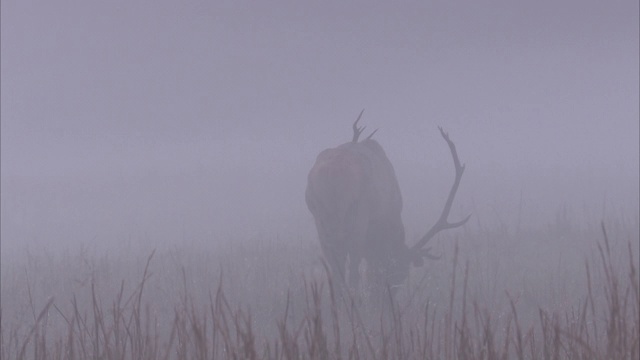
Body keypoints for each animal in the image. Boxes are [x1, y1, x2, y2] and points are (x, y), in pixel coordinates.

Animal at [304, 110, 470, 296]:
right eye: (400, 273)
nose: (384, 298)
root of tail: (331, 174)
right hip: (358, 217)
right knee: (353, 269)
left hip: (320, 218)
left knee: (336, 271)